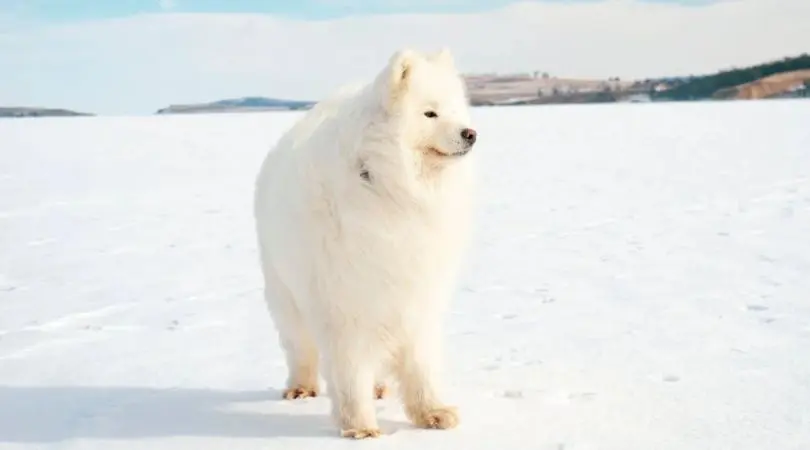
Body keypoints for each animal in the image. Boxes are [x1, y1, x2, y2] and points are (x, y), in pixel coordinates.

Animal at [252, 47, 476, 438]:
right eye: (429, 113)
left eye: (455, 110)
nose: (470, 133)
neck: (389, 189)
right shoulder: (344, 299)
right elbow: (349, 367)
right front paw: (360, 427)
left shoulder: (416, 292)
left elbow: (420, 361)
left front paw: (434, 412)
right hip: (285, 291)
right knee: (299, 346)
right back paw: (300, 387)